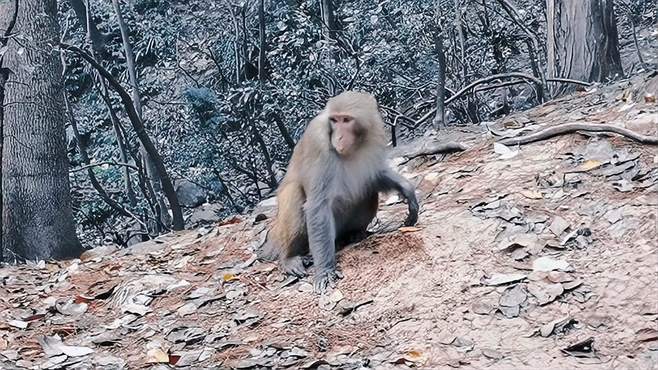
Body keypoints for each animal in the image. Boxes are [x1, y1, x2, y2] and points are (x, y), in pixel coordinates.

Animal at [258, 91, 418, 294]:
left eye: (346, 120)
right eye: (334, 120)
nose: (339, 137)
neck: (356, 146)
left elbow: (374, 175)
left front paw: (408, 191)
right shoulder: (319, 145)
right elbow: (318, 206)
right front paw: (325, 271)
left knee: (367, 189)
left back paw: (353, 234)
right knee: (294, 193)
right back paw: (290, 257)